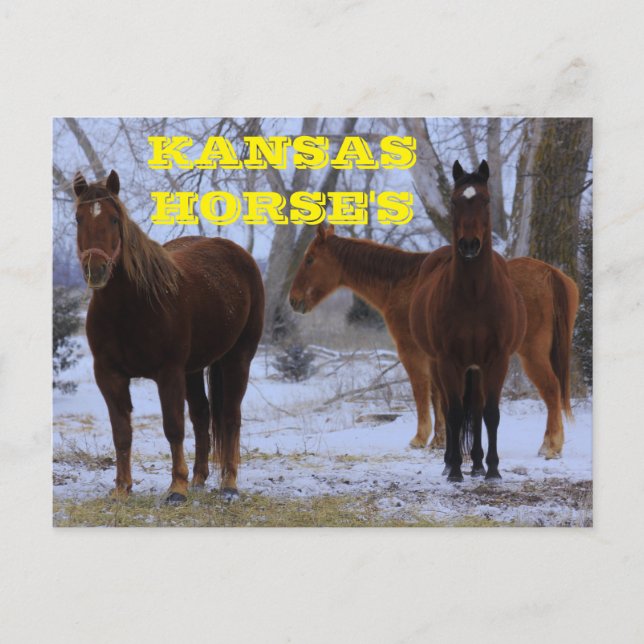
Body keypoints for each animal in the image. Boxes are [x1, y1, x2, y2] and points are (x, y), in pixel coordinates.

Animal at [72, 170, 264, 503]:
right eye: (78, 218)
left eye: (113, 219)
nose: (95, 270)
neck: (130, 308)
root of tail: (240, 255)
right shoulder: (109, 375)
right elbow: (121, 432)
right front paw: (122, 488)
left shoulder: (168, 372)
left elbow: (173, 427)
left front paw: (176, 488)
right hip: (194, 369)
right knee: (202, 414)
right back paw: (199, 478)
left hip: (238, 358)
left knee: (230, 416)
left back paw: (228, 485)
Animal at [289, 225, 578, 460]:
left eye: (310, 259)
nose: (293, 300)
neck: (404, 282)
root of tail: (549, 273)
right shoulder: (437, 355)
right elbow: (438, 396)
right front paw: (440, 440)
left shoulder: (412, 352)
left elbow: (421, 392)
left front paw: (421, 438)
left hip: (532, 354)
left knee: (552, 390)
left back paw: (551, 446)